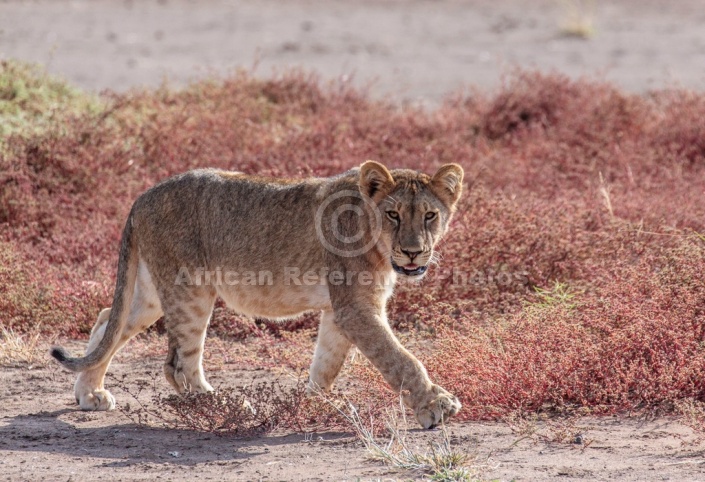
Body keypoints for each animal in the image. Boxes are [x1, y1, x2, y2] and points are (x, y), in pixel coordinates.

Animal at [52, 160, 464, 428]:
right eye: (394, 215)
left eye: (429, 215)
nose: (413, 252)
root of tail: (142, 197)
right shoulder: (356, 308)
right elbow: (401, 359)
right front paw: (435, 404)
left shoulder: (341, 310)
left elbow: (326, 363)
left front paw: (314, 405)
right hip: (190, 290)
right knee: (179, 364)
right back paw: (226, 406)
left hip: (154, 290)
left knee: (110, 319)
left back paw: (90, 393)